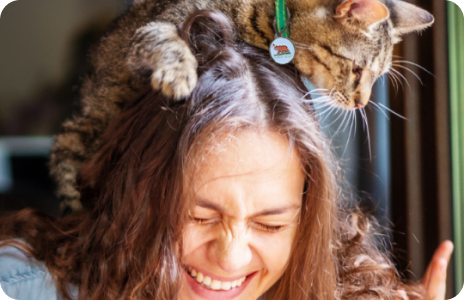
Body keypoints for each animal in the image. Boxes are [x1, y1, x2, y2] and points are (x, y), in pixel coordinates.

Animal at [50, 0, 436, 213]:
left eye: (378, 76)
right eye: (357, 70)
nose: (362, 102)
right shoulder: (156, 26)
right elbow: (164, 40)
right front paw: (178, 74)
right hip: (74, 141)